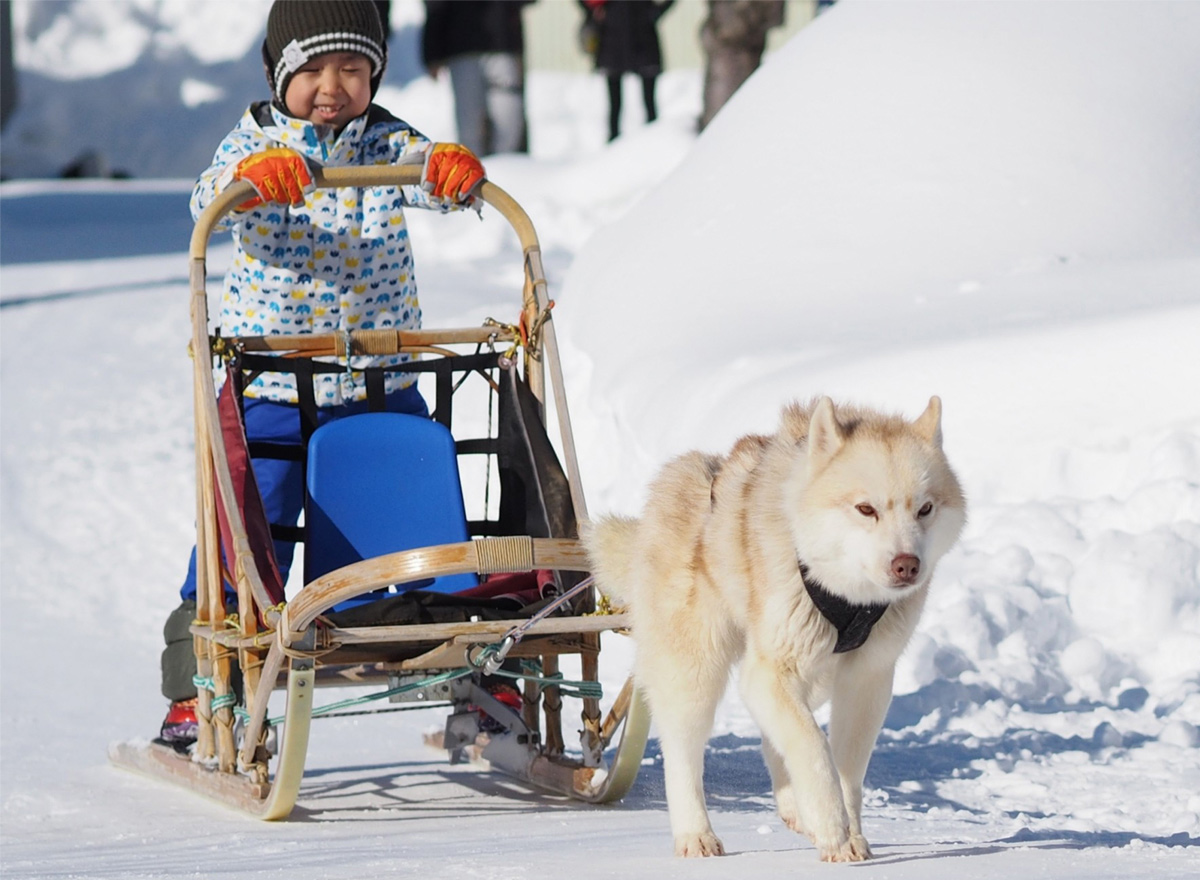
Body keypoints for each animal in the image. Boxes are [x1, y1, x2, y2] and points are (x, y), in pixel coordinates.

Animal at [585, 396, 969, 859]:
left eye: (925, 508)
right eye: (866, 509)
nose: (907, 565)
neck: (847, 597)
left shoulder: (867, 680)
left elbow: (845, 766)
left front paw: (849, 835)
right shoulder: (768, 671)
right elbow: (813, 746)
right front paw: (831, 821)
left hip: (815, 676)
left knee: (774, 737)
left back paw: (793, 809)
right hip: (695, 673)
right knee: (683, 753)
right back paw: (696, 834)